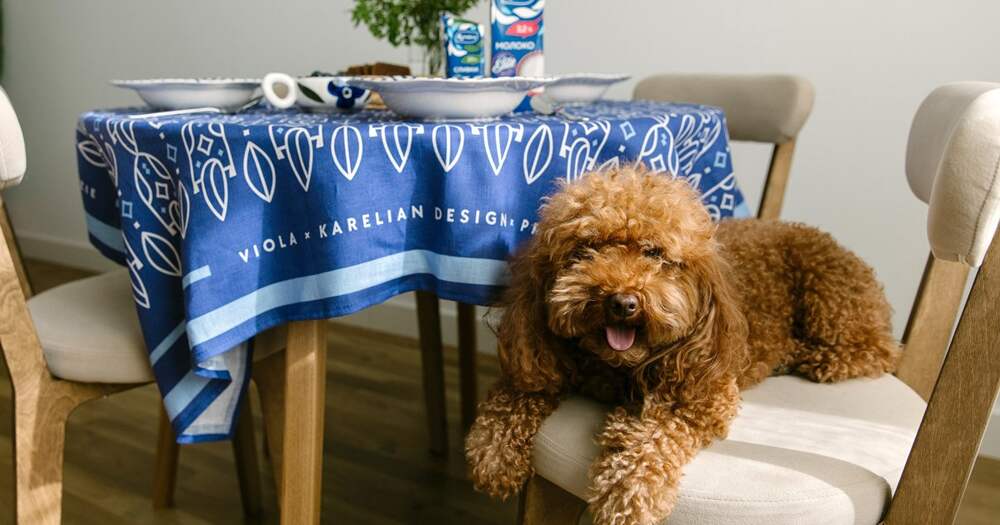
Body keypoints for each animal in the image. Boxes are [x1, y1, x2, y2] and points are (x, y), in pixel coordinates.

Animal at [465, 165, 899, 525]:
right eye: (585, 250)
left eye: (654, 253)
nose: (622, 302)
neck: (617, 369)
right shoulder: (544, 356)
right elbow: (517, 393)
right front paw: (494, 452)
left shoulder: (703, 396)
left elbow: (653, 440)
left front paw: (626, 494)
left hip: (830, 296)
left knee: (876, 351)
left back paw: (810, 356)